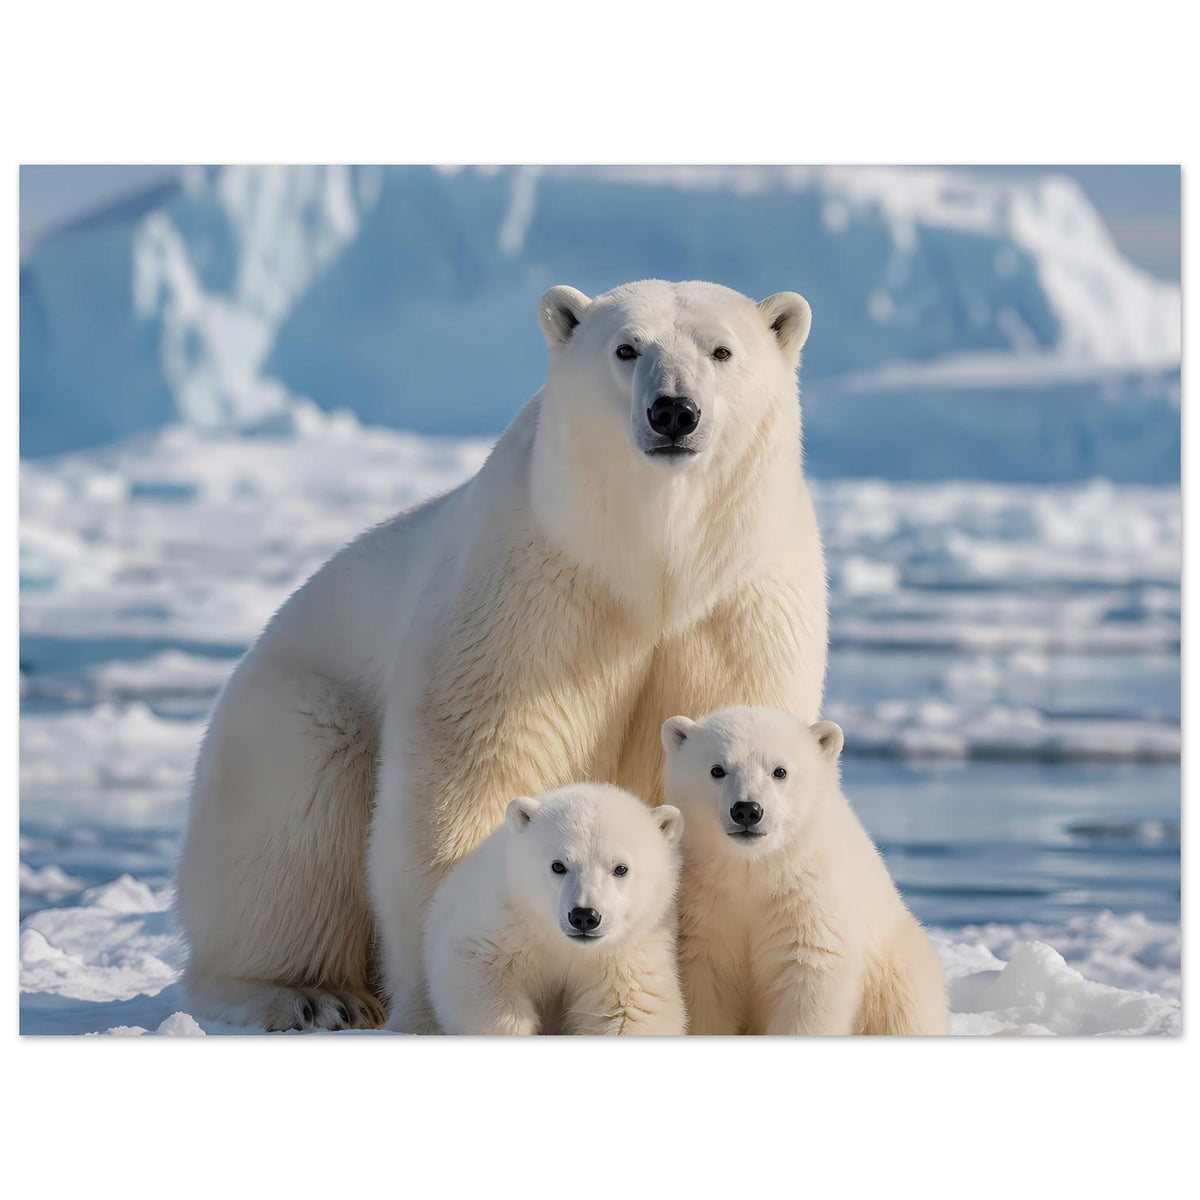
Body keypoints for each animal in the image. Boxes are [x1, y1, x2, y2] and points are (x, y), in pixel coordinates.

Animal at [423, 783, 687, 1035]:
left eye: (620, 868)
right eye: (558, 865)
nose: (584, 916)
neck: (565, 946)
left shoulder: (629, 956)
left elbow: (633, 1009)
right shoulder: (505, 922)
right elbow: (476, 966)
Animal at [661, 707, 949, 1036]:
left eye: (779, 771)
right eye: (717, 769)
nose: (747, 810)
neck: (754, 869)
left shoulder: (809, 900)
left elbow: (809, 978)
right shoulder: (705, 905)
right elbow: (706, 990)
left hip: (896, 971)